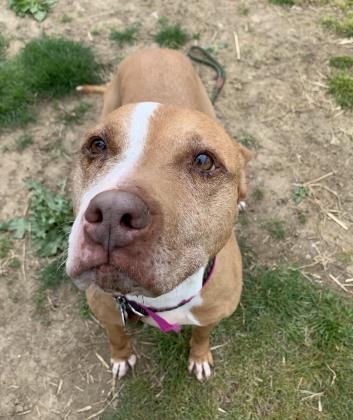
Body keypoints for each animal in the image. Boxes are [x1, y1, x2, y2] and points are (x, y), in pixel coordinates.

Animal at [65, 47, 248, 382]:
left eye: (204, 161)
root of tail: (156, 48)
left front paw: (199, 357)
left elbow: (202, 335)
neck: (162, 301)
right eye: (97, 145)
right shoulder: (106, 312)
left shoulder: (213, 314)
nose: (112, 213)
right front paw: (121, 356)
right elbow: (116, 335)